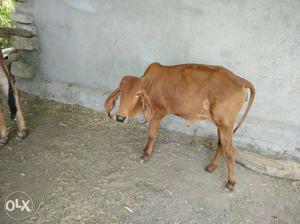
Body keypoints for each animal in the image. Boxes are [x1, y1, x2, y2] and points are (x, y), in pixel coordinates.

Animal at [104, 62, 254, 190]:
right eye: (121, 91)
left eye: (138, 93)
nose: (120, 117)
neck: (150, 83)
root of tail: (240, 80)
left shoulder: (157, 113)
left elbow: (152, 135)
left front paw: (146, 155)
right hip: (221, 124)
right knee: (221, 144)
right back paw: (211, 167)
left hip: (225, 124)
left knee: (230, 150)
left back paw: (231, 182)